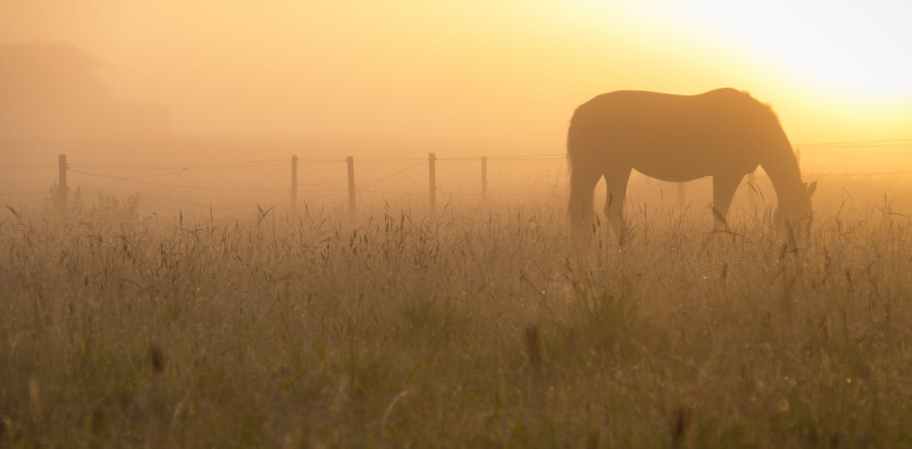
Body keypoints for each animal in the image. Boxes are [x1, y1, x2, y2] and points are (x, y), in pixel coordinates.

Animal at [568, 87, 816, 242]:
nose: (799, 250)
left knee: (606, 211)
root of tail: (580, 112)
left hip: (614, 169)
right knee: (583, 213)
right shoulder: (727, 173)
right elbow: (720, 213)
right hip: (597, 168)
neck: (754, 126)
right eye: (801, 218)